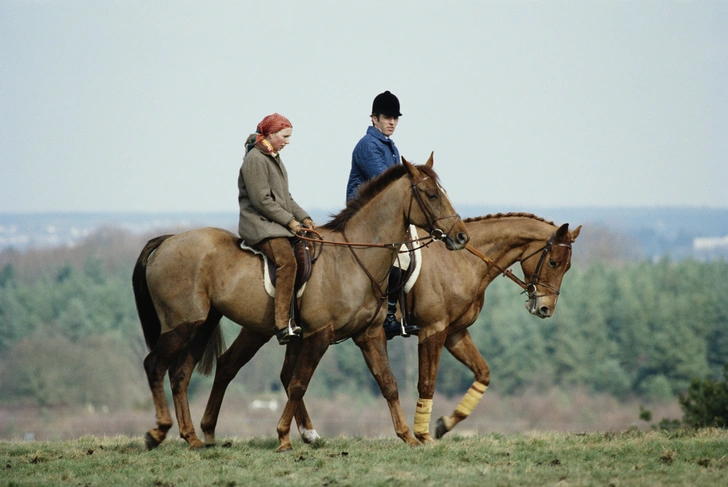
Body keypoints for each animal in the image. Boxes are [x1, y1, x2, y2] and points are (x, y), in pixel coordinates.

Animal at [133, 157, 470, 454]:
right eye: (431, 195)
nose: (461, 236)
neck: (354, 257)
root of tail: (168, 240)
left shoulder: (369, 335)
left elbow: (388, 383)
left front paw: (408, 436)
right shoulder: (319, 334)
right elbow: (298, 383)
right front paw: (284, 437)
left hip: (202, 326)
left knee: (183, 374)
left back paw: (194, 437)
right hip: (182, 326)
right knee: (155, 365)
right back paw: (158, 432)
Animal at [199, 214, 580, 446]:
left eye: (566, 266)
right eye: (554, 261)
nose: (545, 309)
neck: (462, 261)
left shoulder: (456, 333)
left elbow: (483, 373)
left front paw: (444, 424)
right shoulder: (433, 331)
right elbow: (426, 382)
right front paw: (424, 433)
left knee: (276, 373)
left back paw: (306, 433)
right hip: (264, 329)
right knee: (234, 365)